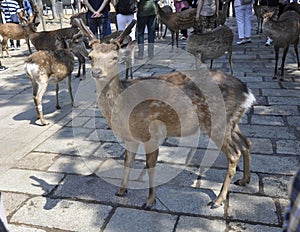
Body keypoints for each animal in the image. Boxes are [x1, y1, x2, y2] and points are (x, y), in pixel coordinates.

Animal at [77, 18, 255, 208]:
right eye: (91, 57)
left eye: (114, 57)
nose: (97, 72)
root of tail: (247, 92)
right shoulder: (130, 137)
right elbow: (127, 162)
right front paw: (121, 190)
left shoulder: (152, 133)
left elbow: (150, 165)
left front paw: (150, 200)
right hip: (232, 121)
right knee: (246, 143)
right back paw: (244, 180)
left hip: (217, 122)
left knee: (234, 154)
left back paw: (218, 200)